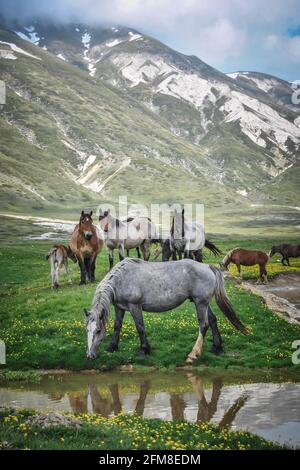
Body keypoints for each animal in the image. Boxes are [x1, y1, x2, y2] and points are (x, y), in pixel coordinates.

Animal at [85, 258, 248, 362]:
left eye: (98, 330)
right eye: (87, 330)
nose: (90, 355)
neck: (122, 278)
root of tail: (208, 266)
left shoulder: (134, 306)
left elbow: (140, 327)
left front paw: (144, 350)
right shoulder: (120, 307)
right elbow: (117, 326)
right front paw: (112, 347)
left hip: (200, 303)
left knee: (204, 325)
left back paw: (193, 354)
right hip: (202, 302)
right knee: (213, 320)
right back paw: (217, 347)